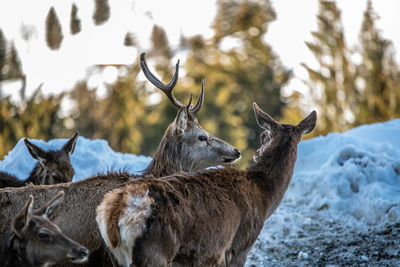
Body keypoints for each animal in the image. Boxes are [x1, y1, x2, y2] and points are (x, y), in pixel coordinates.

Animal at [95, 103, 318, 267]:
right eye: (263, 136)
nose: (255, 152)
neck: (263, 195)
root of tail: (113, 213)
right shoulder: (239, 245)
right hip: (155, 251)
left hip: (116, 257)